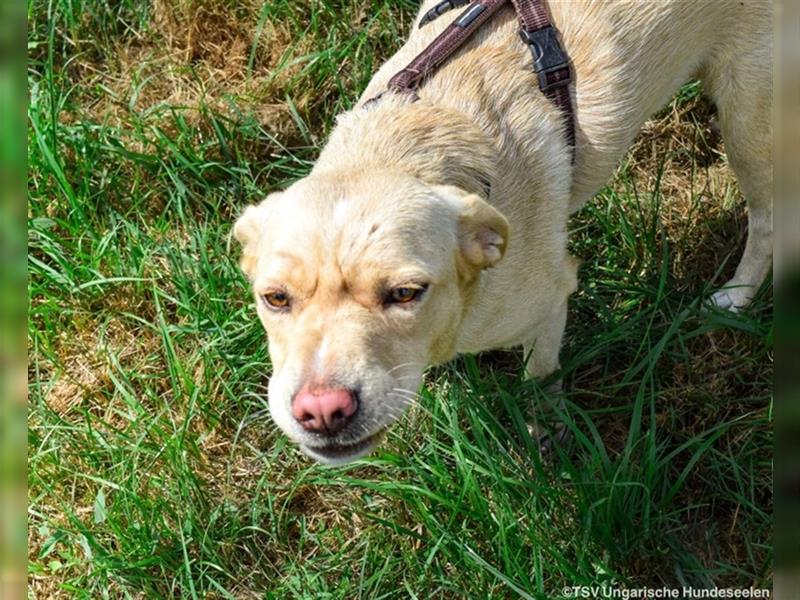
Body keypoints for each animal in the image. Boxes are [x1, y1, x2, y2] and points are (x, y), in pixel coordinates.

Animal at [234, 0, 772, 464]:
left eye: (406, 293)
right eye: (274, 298)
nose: (322, 411)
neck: (402, 145)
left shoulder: (550, 302)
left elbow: (540, 376)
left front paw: (546, 430)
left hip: (747, 120)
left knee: (768, 223)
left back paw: (734, 297)